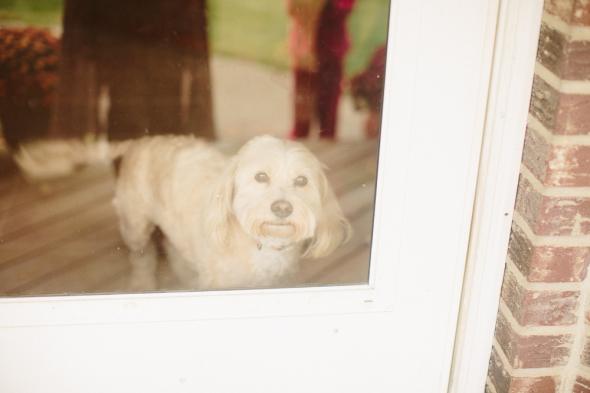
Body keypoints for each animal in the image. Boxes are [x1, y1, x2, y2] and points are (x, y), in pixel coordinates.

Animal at [115, 133, 352, 290]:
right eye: (260, 176)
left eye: (302, 180)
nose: (282, 208)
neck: (262, 244)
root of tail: (141, 141)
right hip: (135, 229)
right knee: (142, 259)